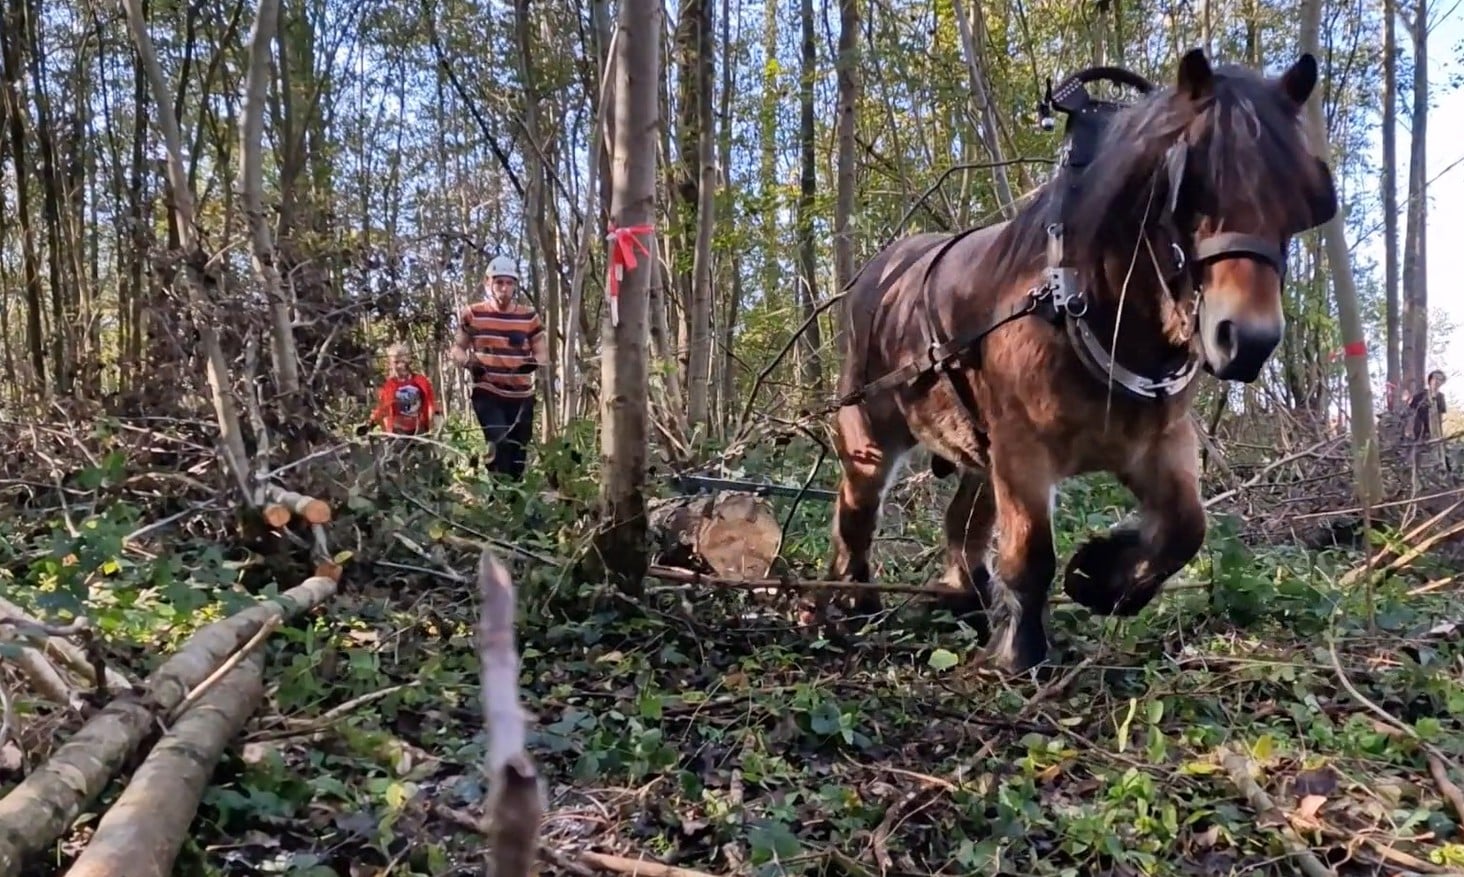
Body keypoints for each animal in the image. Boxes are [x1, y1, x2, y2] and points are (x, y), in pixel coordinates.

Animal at [831, 51, 1335, 676]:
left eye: (1302, 200)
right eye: (1192, 188)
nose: (1249, 340)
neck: (1083, 303)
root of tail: (879, 269)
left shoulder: (1159, 443)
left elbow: (1186, 527)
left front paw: (1100, 577)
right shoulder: (1023, 449)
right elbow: (1031, 553)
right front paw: (1018, 652)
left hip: (975, 448)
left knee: (962, 523)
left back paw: (965, 596)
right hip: (870, 429)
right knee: (857, 509)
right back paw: (851, 601)